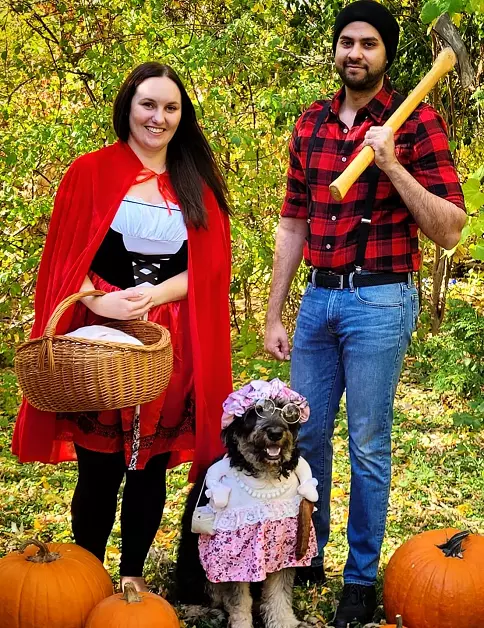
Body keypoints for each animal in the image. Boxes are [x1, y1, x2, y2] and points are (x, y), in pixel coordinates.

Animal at [176, 378, 320, 628]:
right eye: (255, 412)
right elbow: (237, 600)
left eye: (288, 412)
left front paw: (284, 622)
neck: (264, 479)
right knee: (188, 596)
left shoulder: (284, 548)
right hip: (192, 561)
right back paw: (204, 612)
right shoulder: (234, 559)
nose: (275, 433)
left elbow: (279, 592)